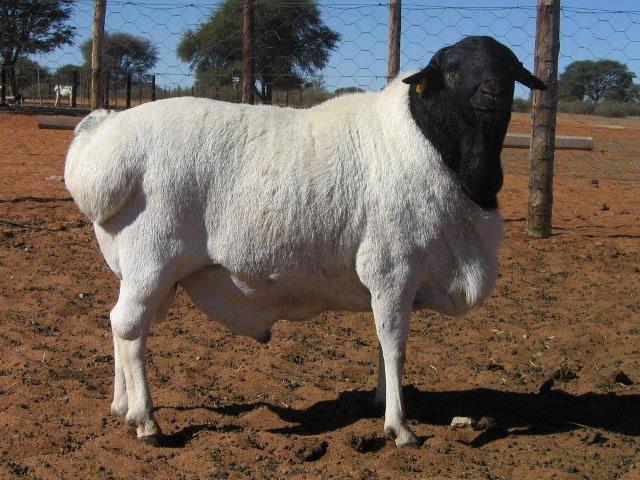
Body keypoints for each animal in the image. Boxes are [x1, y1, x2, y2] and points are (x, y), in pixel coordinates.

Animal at [64, 36, 545, 447]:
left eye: (509, 67)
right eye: (452, 70)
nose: (492, 93)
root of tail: (103, 142)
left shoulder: (394, 282)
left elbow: (383, 341)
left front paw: (382, 401)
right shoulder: (392, 268)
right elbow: (394, 344)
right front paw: (400, 426)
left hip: (144, 271)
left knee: (120, 325)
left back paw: (121, 405)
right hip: (152, 259)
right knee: (129, 328)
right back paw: (146, 421)